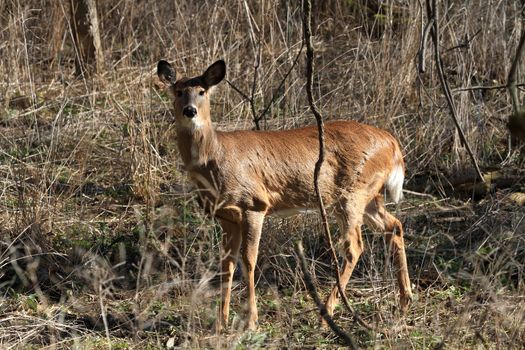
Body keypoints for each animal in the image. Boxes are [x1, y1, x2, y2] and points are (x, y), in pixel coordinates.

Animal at [157, 58, 414, 332]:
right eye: (178, 91)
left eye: (202, 91)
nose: (190, 111)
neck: (216, 158)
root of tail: (393, 144)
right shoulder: (225, 215)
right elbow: (226, 264)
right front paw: (220, 322)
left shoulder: (254, 204)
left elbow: (248, 261)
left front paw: (251, 321)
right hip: (367, 196)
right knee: (394, 226)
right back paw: (404, 300)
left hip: (351, 193)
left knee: (355, 246)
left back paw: (327, 313)